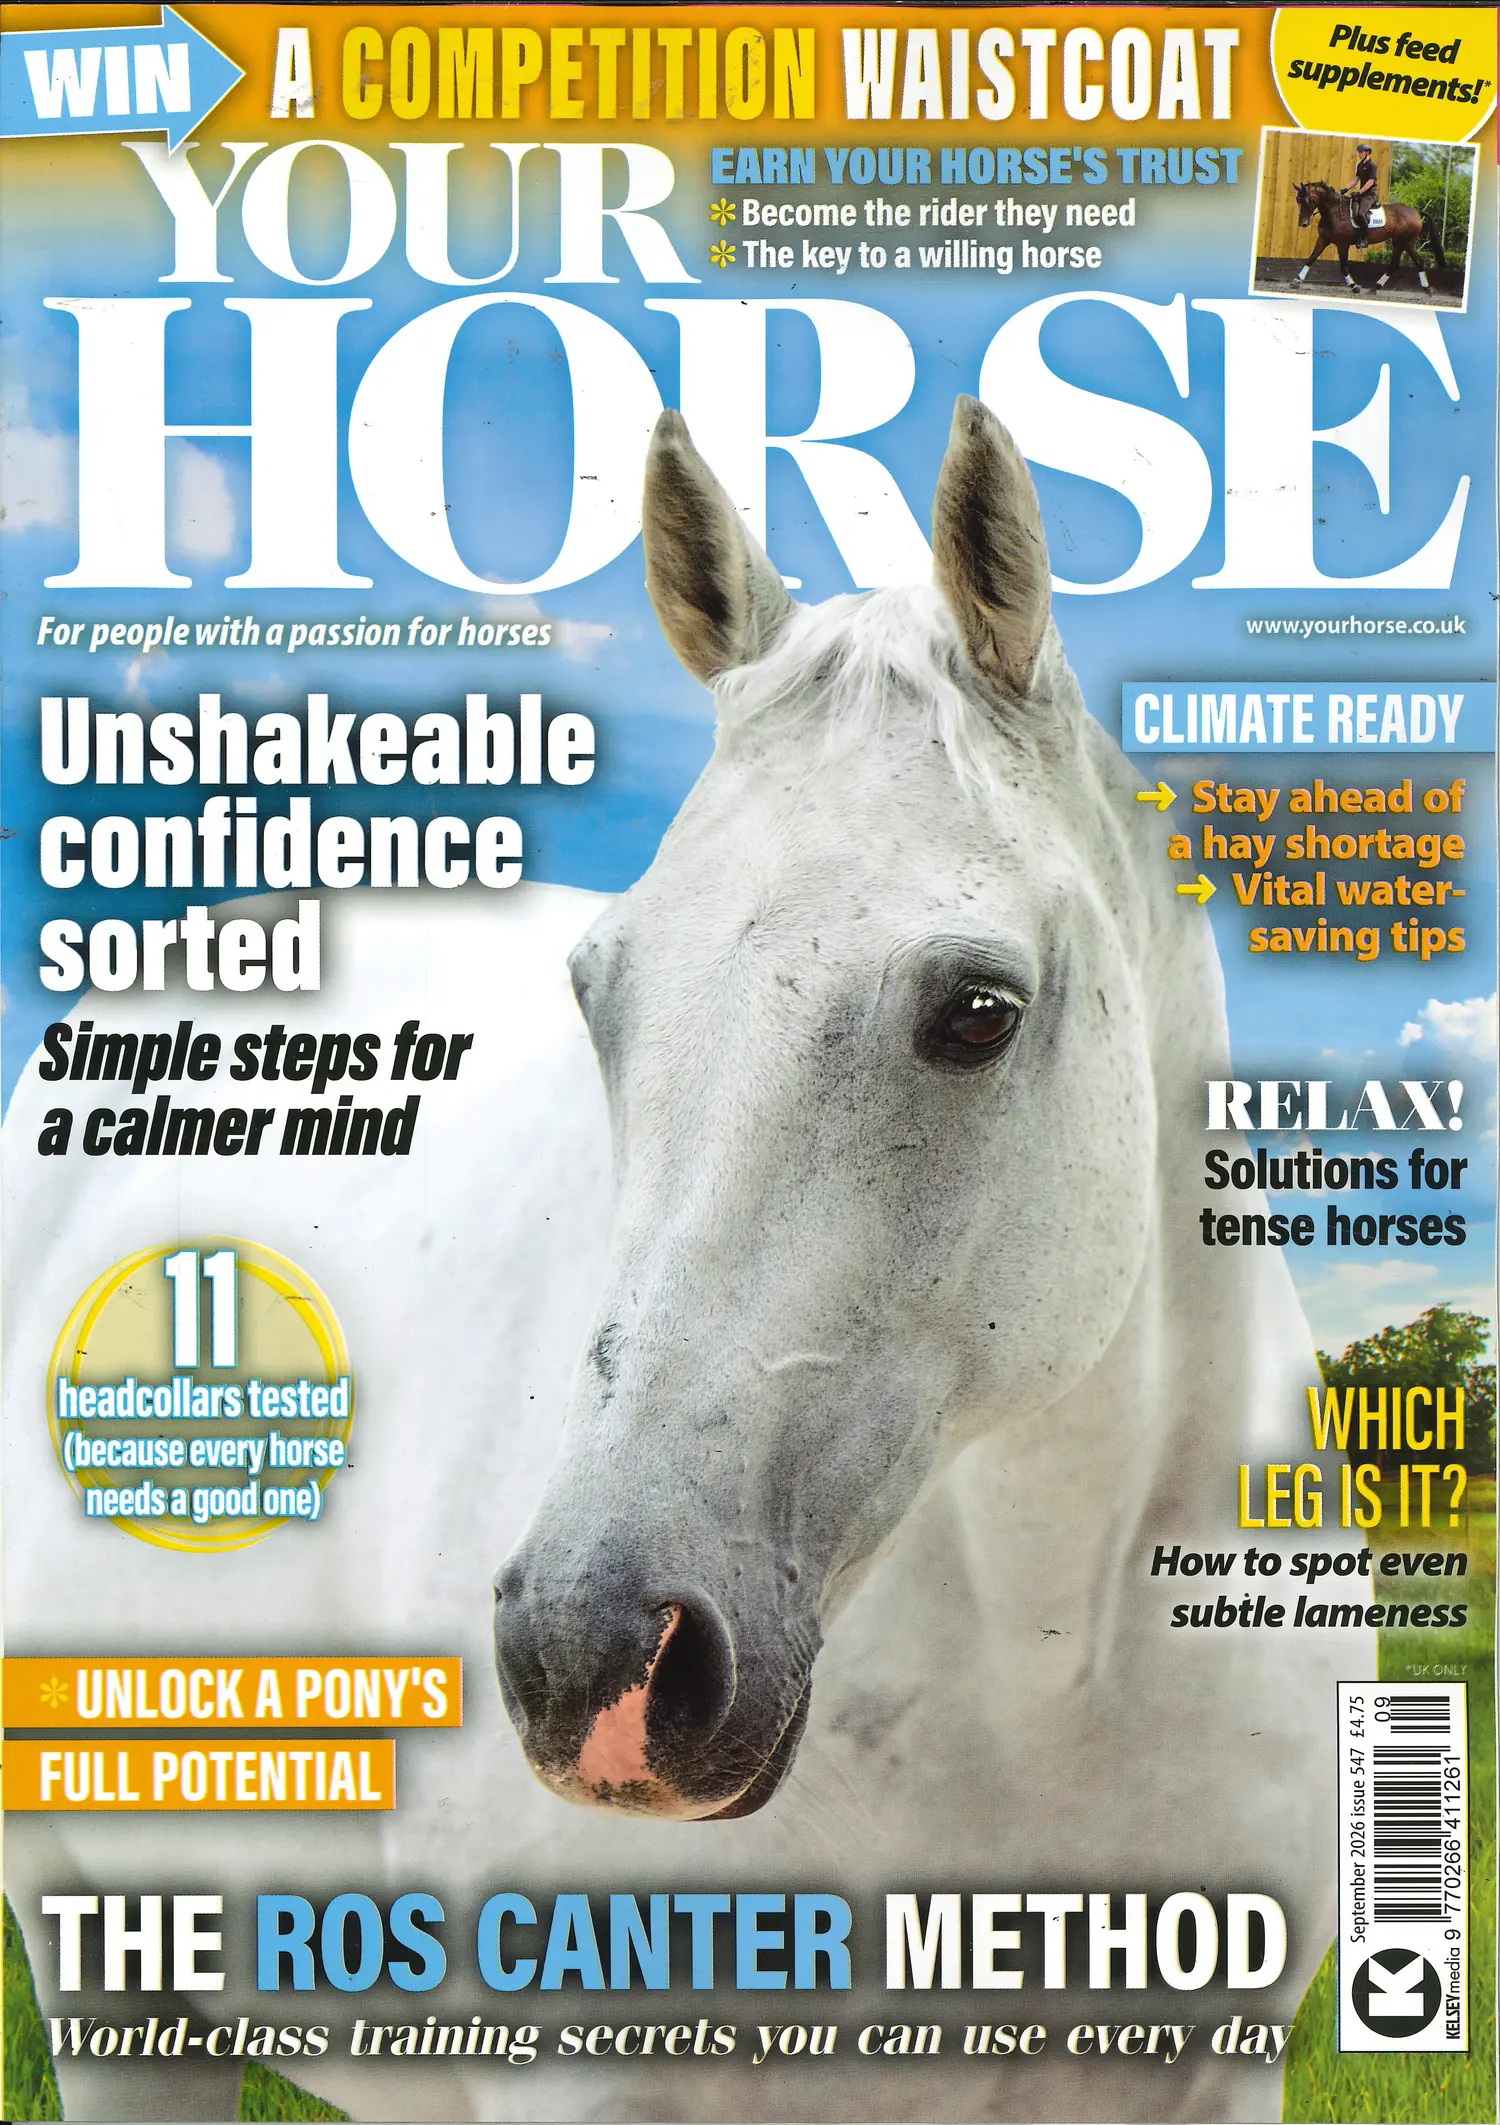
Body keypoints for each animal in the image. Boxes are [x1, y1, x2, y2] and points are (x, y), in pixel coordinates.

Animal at [1293, 179, 1445, 293]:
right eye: (1297, 200)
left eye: (1305, 201)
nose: (1303, 223)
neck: (1333, 211)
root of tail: (1416, 212)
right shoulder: (1323, 239)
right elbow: (1311, 259)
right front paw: (1296, 281)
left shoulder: (1342, 244)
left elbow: (1343, 267)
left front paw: (1354, 286)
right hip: (1408, 242)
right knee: (1417, 262)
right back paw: (1426, 288)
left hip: (1400, 241)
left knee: (1394, 264)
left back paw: (1375, 287)